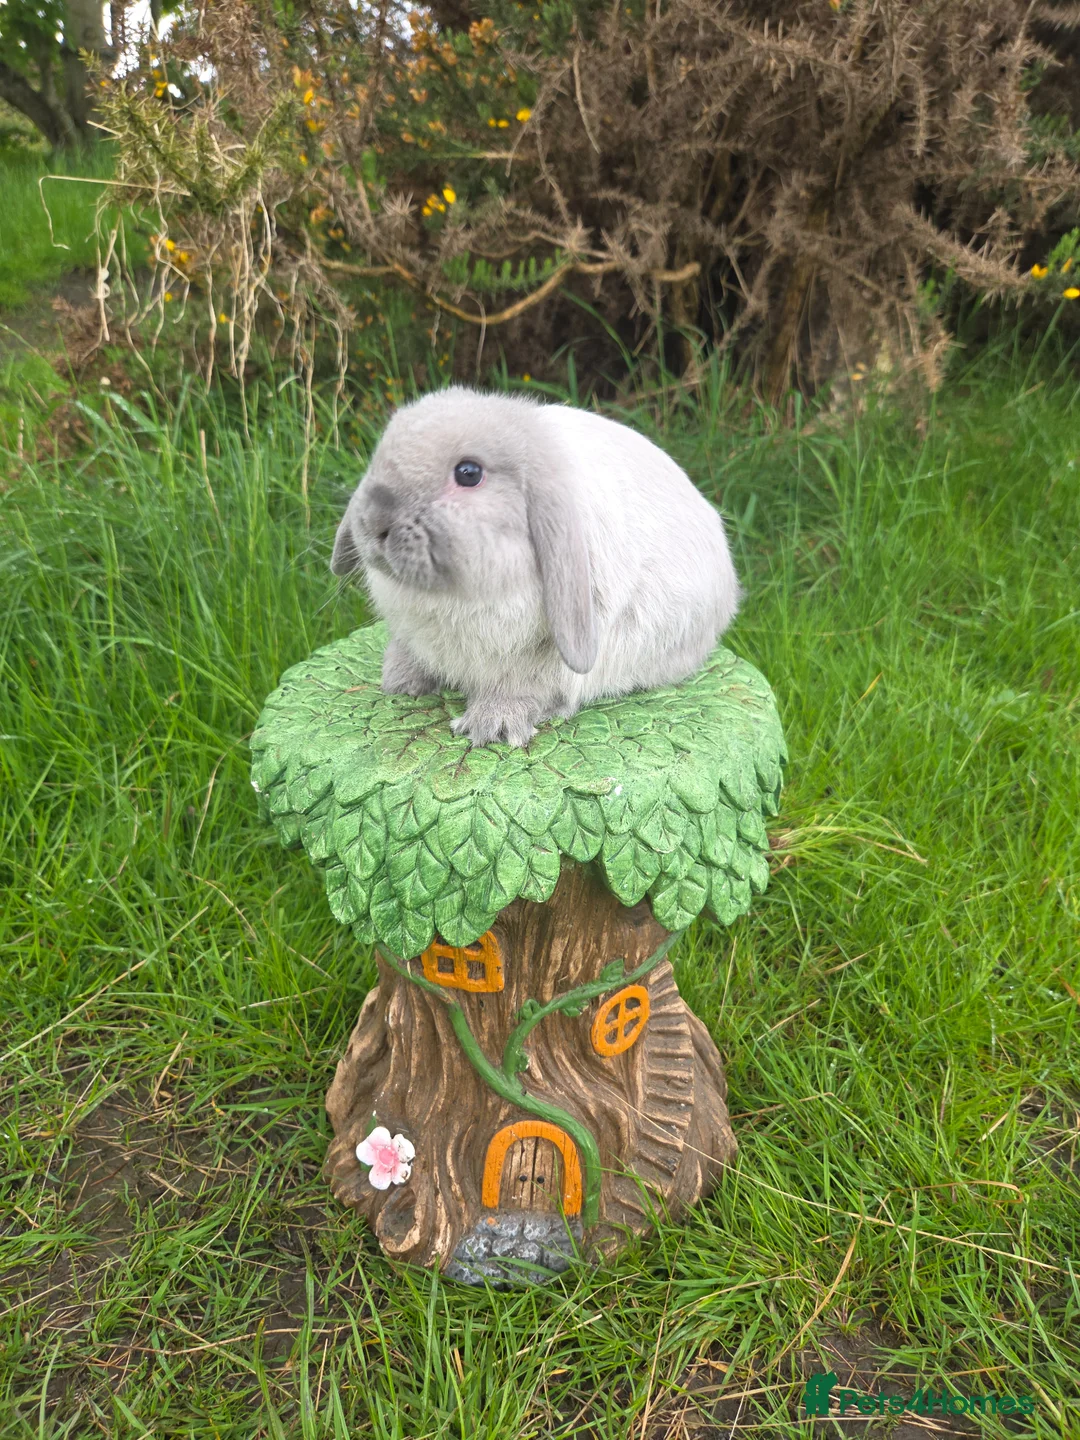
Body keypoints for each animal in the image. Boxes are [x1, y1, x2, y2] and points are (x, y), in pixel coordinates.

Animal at [330, 386, 740, 747]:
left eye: (468, 473)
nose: (374, 521)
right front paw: (400, 682)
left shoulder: (549, 656)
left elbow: (525, 686)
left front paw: (490, 726)